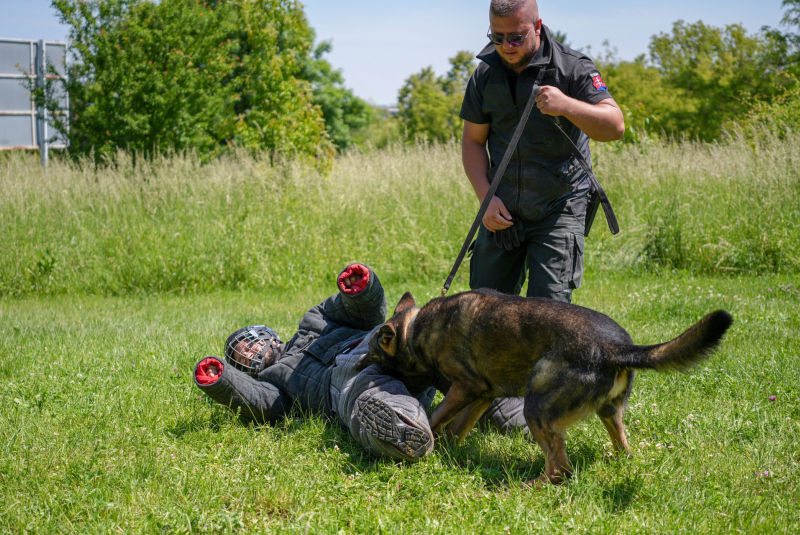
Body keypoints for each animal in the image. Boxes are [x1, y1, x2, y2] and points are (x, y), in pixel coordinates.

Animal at [354, 292, 732, 488]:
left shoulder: (465, 387)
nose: (358, 365)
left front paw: (427, 441)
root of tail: (616, 348)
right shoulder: (482, 394)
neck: (416, 331)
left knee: (559, 470)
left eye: (374, 353)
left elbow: (436, 420)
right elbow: (457, 428)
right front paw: (448, 449)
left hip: (536, 408)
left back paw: (521, 487)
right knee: (623, 447)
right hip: (609, 413)